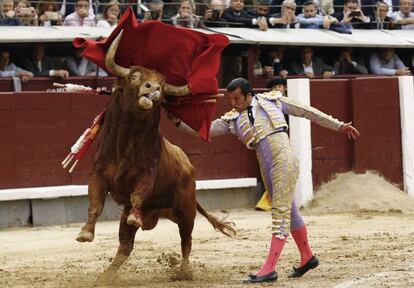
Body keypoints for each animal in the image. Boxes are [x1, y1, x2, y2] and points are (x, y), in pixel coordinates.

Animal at [75, 32, 234, 280]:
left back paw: (183, 272)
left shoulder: (147, 174)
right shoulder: (98, 175)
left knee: (186, 240)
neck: (126, 142)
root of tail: (189, 166)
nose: (153, 89)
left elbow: (138, 196)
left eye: (163, 86)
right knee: (125, 246)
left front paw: (135, 215)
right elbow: (95, 204)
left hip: (186, 209)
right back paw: (107, 276)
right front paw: (85, 233)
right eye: (134, 76)